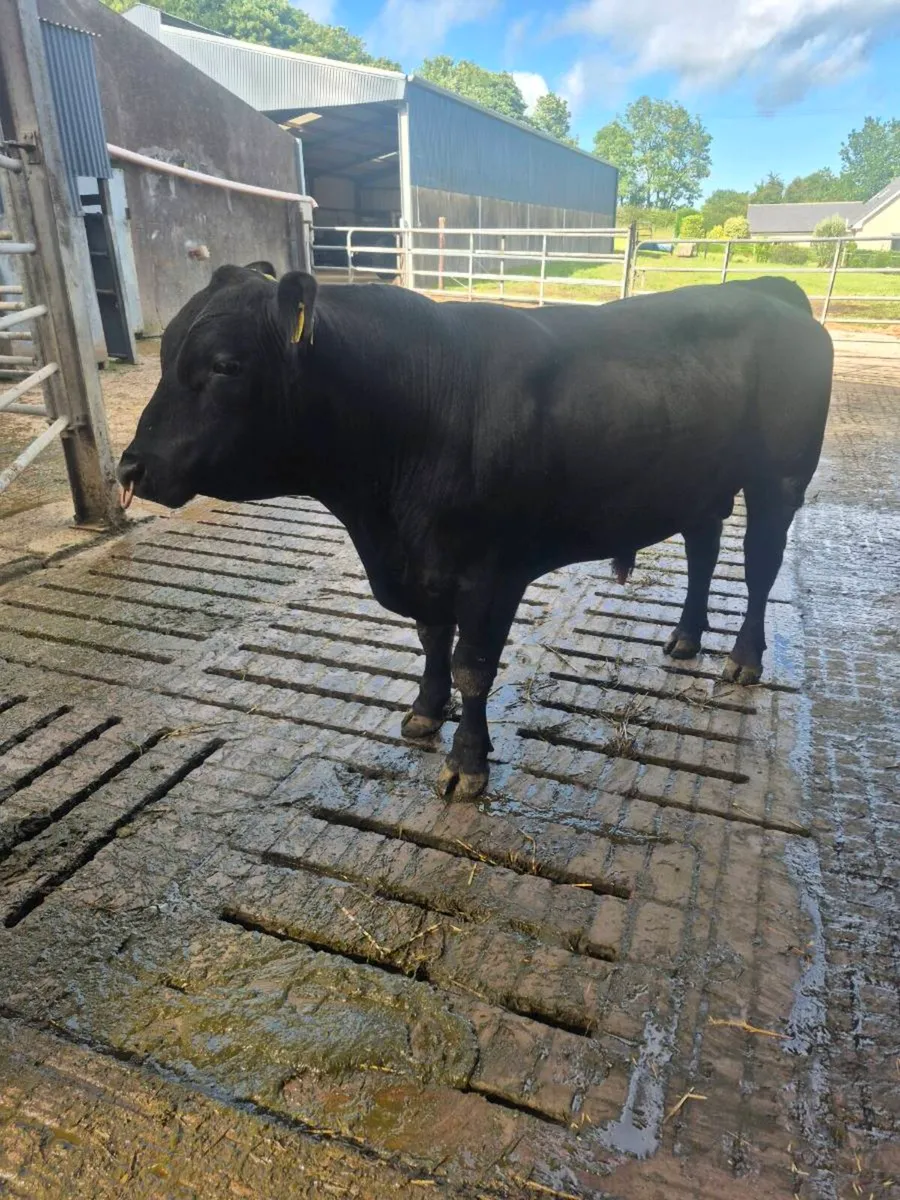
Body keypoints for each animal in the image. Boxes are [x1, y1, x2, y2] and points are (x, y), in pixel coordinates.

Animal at [117, 267, 833, 799]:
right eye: (166, 351)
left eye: (227, 365)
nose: (131, 467)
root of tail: (768, 290)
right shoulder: (425, 566)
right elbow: (432, 640)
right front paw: (423, 712)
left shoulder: (491, 572)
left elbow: (473, 666)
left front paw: (467, 763)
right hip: (699, 485)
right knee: (704, 550)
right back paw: (684, 637)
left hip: (779, 478)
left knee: (759, 564)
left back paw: (743, 658)